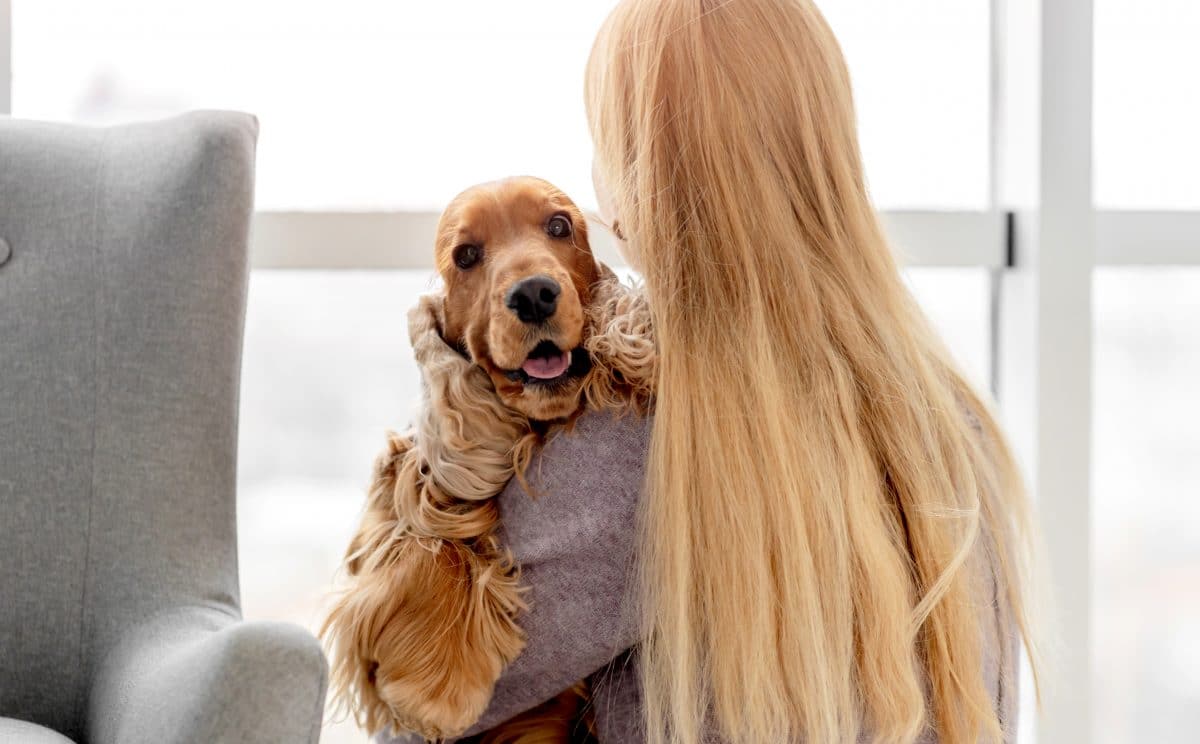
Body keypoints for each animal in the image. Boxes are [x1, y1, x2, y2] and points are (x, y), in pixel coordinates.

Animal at [324, 177, 652, 739]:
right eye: (466, 255)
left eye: (559, 226)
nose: (534, 294)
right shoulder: (400, 484)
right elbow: (425, 536)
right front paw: (437, 688)